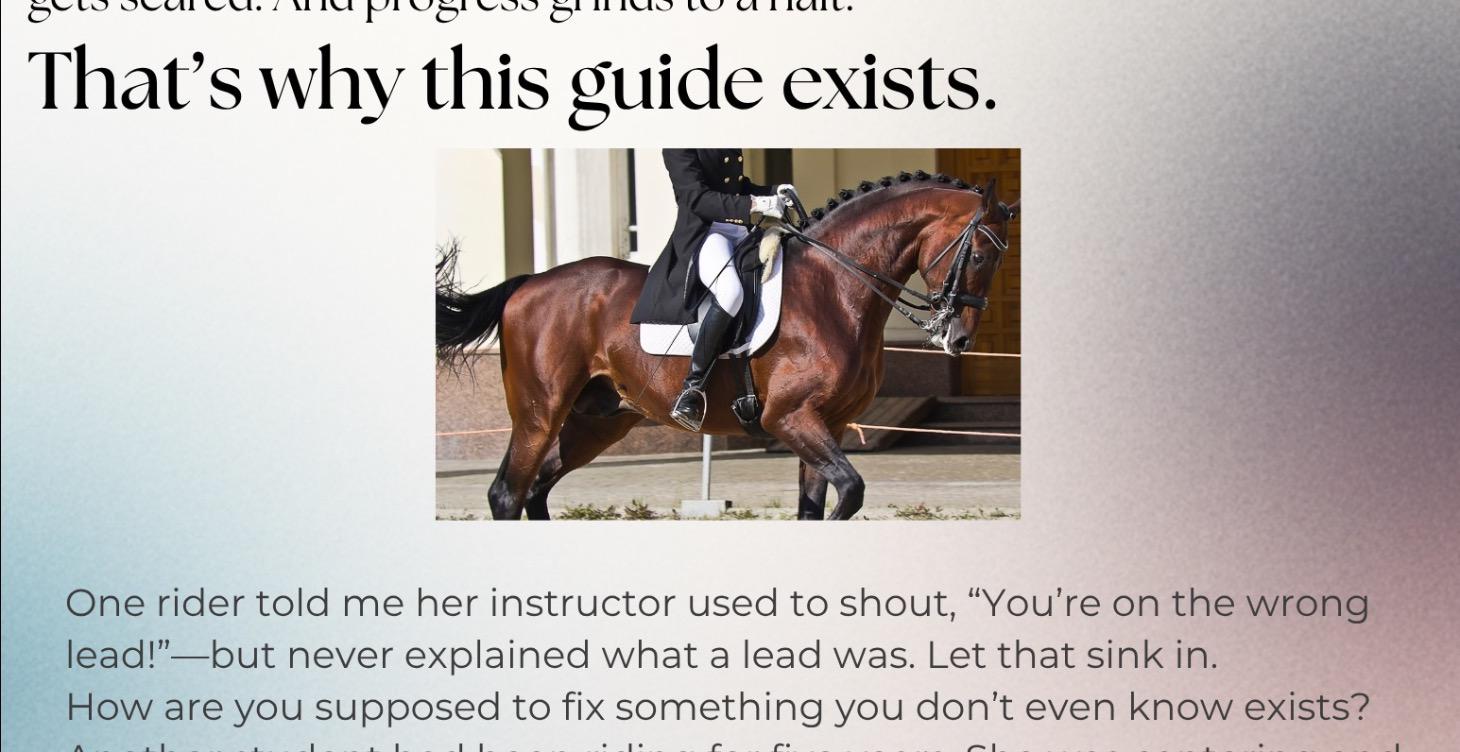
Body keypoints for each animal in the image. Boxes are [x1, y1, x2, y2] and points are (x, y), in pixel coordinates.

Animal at [437, 170, 1018, 520]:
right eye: (980, 256)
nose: (958, 338)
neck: (835, 288)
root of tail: (530, 281)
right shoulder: (790, 419)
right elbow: (850, 493)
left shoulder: (826, 426)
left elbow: (815, 510)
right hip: (541, 411)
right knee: (508, 493)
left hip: (596, 421)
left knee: (536, 490)